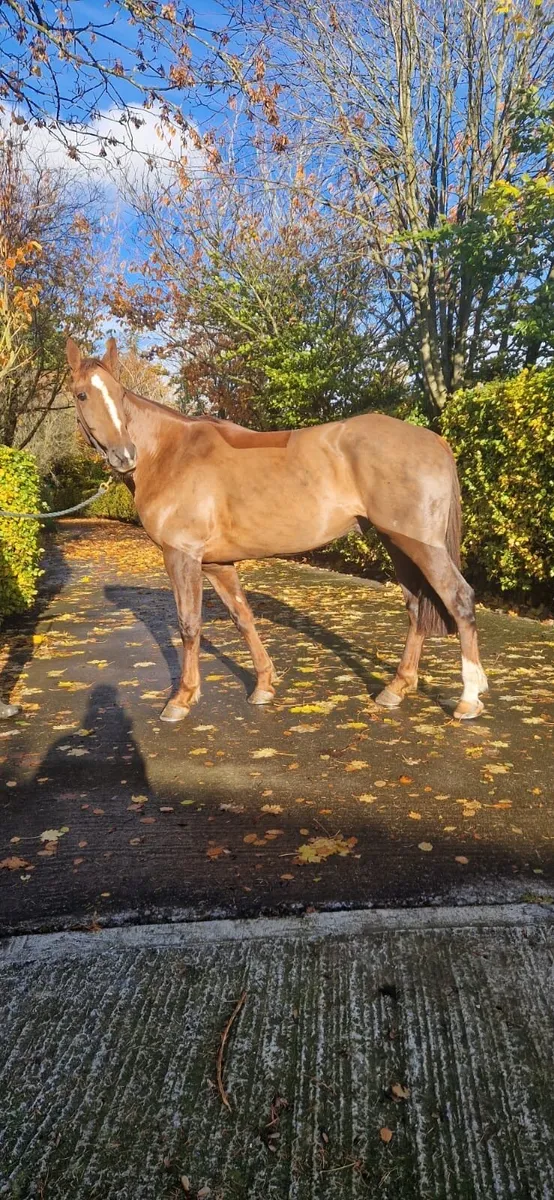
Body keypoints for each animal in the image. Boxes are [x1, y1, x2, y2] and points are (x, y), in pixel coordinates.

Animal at [65, 336, 488, 723]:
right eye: (83, 394)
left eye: (119, 394)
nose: (124, 456)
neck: (171, 454)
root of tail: (434, 439)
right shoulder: (217, 563)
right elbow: (243, 618)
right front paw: (264, 686)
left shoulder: (181, 555)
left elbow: (189, 625)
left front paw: (182, 698)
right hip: (398, 544)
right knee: (417, 608)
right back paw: (396, 688)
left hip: (423, 547)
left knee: (459, 599)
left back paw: (468, 698)